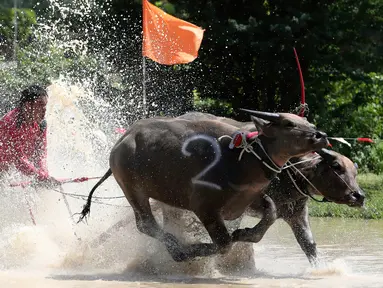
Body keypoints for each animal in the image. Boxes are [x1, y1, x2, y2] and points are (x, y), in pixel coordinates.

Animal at [79, 109, 330, 260]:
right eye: (288, 123)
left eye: (308, 122)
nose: (321, 135)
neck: (240, 160)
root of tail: (122, 141)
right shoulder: (205, 208)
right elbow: (224, 243)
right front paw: (194, 249)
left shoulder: (247, 201)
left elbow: (270, 213)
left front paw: (246, 233)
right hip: (133, 190)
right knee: (145, 224)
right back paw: (177, 250)